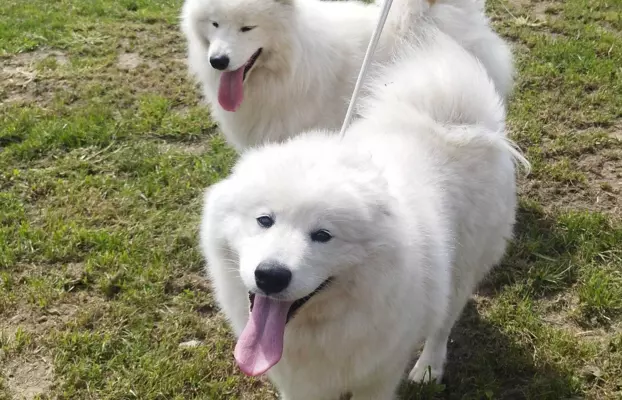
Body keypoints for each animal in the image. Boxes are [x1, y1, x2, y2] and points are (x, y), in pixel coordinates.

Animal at [201, 17, 532, 398]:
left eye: (323, 235)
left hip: (465, 266)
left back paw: (429, 366)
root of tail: (450, 120)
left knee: (443, 323)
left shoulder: (378, 376)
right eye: (264, 220)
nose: (270, 275)